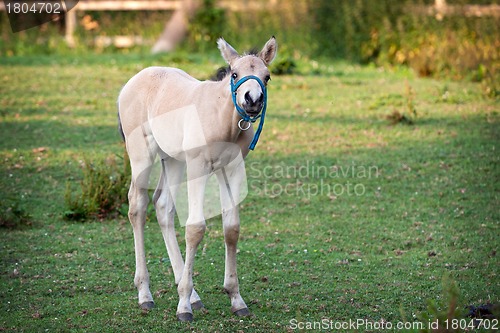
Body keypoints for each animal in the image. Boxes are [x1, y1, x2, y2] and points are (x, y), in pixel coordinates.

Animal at [119, 35, 280, 320]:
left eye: (267, 76)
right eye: (235, 74)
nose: (252, 100)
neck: (222, 118)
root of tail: (132, 82)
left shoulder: (232, 169)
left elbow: (232, 229)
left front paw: (236, 299)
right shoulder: (198, 167)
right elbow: (195, 228)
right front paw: (183, 306)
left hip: (172, 159)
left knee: (163, 206)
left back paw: (193, 296)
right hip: (142, 156)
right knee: (137, 207)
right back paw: (146, 294)